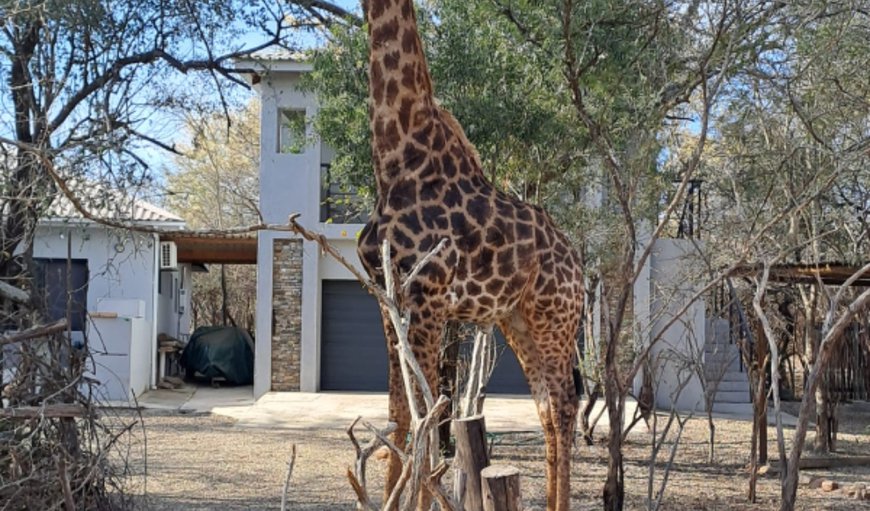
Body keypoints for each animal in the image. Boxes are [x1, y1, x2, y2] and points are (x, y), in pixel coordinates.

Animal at [358, 2, 588, 510]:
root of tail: (580, 267)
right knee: (546, 408)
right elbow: (399, 414)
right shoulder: (387, 298)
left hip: (554, 318)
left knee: (565, 404)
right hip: (516, 321)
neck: (395, 155)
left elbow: (425, 419)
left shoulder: (427, 298)